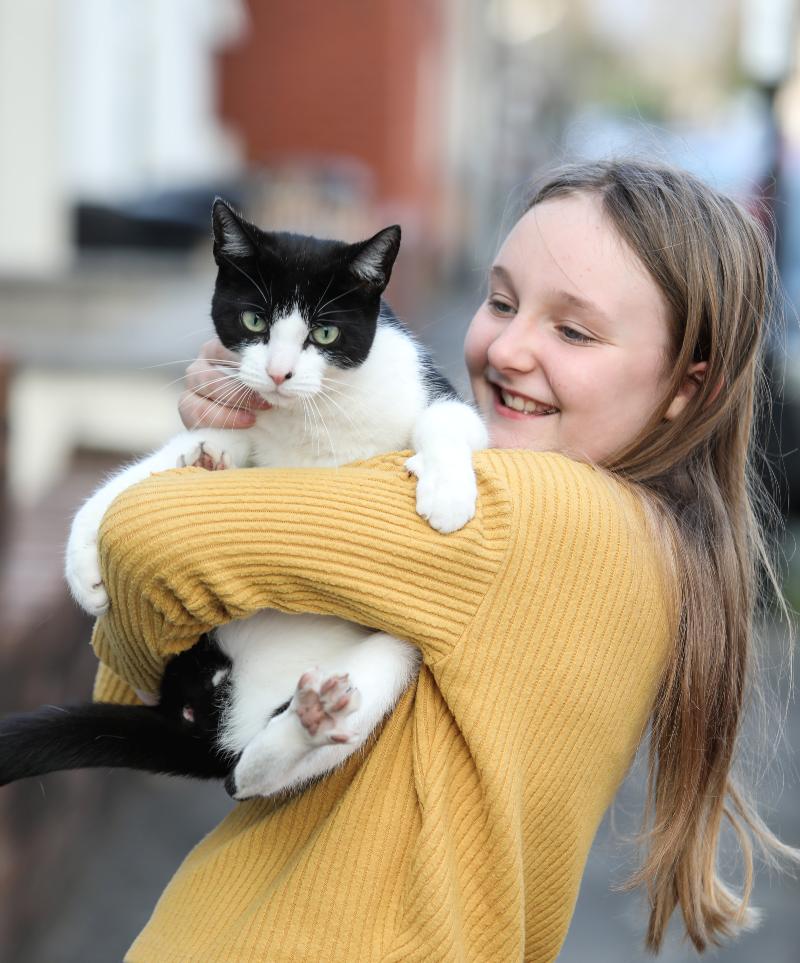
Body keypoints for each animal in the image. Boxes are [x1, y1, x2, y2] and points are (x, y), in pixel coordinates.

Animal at [1, 201, 488, 800]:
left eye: (325, 332)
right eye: (255, 322)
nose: (278, 372)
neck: (312, 414)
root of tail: (204, 717)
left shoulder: (431, 391)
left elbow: (448, 419)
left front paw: (447, 495)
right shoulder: (242, 421)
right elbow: (139, 479)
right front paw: (81, 563)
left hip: (398, 651)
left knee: (246, 772)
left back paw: (310, 721)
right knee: (241, 773)